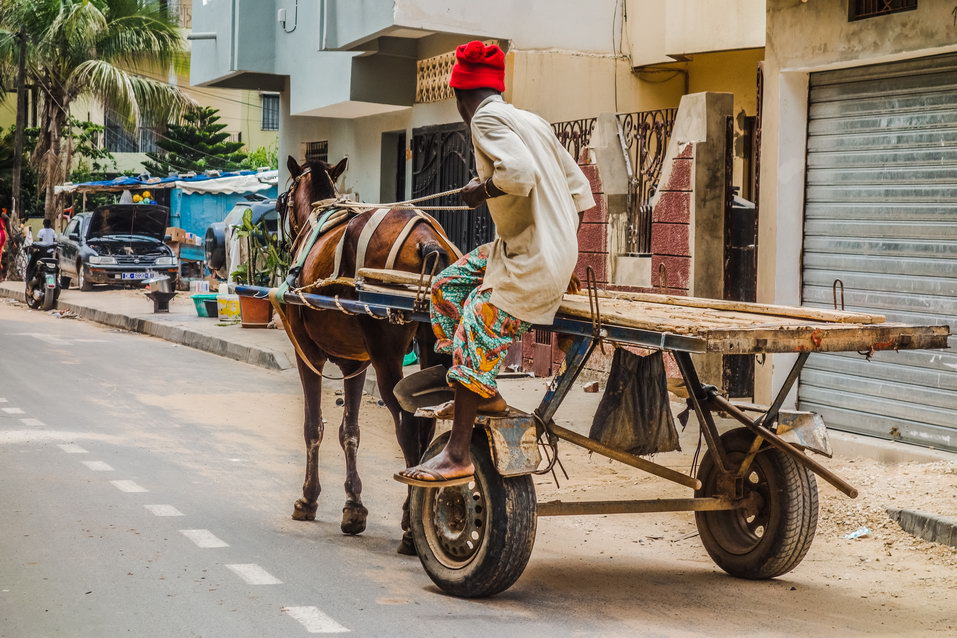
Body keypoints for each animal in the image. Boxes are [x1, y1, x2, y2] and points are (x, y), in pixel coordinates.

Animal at [280, 155, 456, 556]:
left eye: (282, 200)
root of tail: (428, 241)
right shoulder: (355, 363)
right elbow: (350, 431)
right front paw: (353, 507)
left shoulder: (307, 353)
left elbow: (313, 427)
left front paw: (308, 499)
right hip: (431, 346)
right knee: (429, 420)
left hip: (386, 352)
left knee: (408, 427)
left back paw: (410, 527)